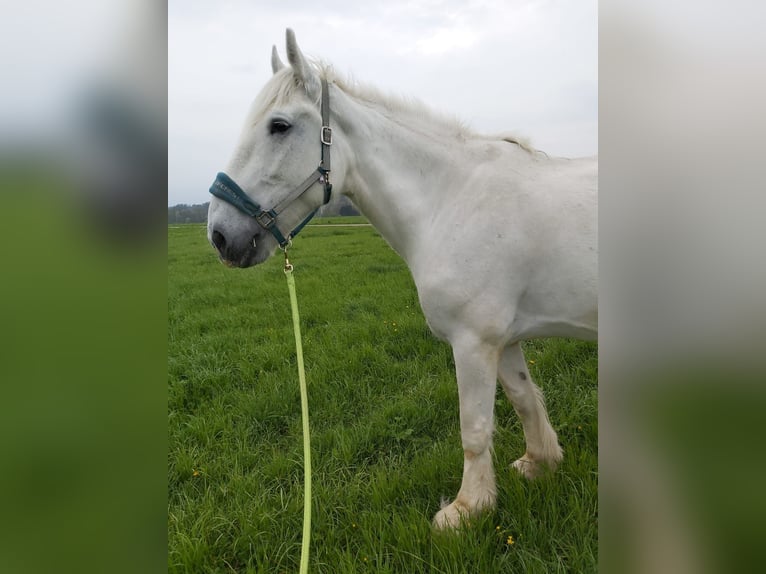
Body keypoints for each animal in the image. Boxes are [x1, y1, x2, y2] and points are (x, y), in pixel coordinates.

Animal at [207, 29, 597, 529]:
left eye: (279, 126)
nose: (220, 236)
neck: (451, 199)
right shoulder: (503, 339)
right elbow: (524, 397)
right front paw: (540, 462)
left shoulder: (473, 342)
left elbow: (474, 427)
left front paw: (466, 511)